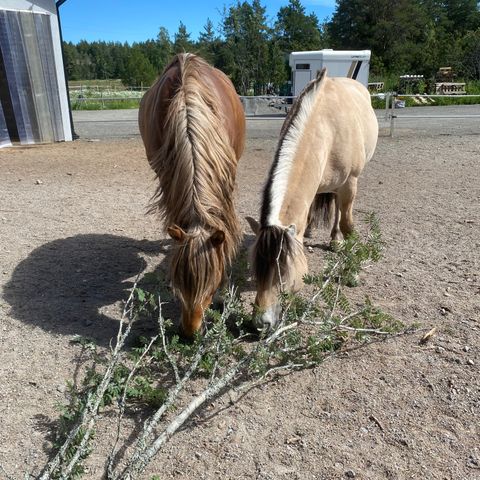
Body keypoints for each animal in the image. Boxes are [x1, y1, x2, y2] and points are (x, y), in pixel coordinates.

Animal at [248, 68, 378, 330]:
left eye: (284, 271)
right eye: (257, 267)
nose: (260, 323)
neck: (325, 126)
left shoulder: (350, 184)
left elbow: (348, 225)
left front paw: (353, 273)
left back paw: (336, 241)